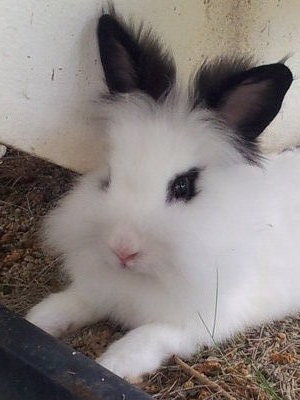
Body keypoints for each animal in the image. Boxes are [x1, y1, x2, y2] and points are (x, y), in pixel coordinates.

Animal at [25, 6, 298, 382]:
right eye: (108, 175)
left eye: (183, 186)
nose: (122, 249)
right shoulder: (94, 291)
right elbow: (71, 303)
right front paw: (37, 320)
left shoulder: (191, 323)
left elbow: (144, 338)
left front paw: (110, 367)